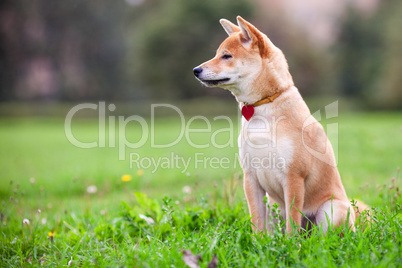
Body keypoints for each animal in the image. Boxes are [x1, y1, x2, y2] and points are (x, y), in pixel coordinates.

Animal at [194, 16, 368, 232]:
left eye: (226, 56)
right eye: (217, 54)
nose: (195, 70)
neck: (264, 105)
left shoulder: (293, 177)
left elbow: (292, 224)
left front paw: (291, 241)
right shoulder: (251, 178)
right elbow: (257, 222)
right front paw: (258, 241)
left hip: (331, 211)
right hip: (273, 206)